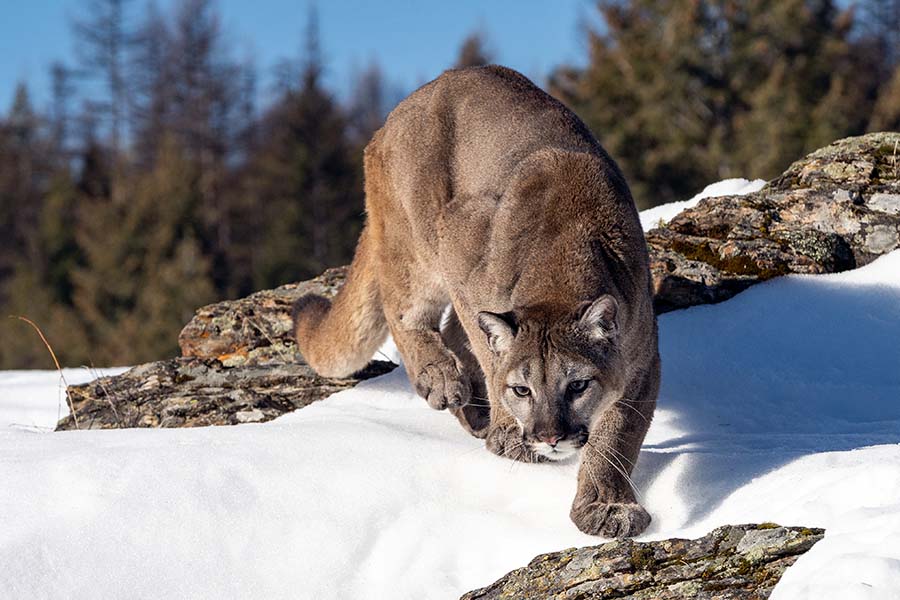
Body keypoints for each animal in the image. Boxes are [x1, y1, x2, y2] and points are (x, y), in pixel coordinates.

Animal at [292, 65, 656, 540]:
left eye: (577, 386)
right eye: (523, 389)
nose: (549, 436)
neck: (562, 265)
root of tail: (392, 117)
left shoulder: (641, 360)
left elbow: (618, 434)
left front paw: (607, 504)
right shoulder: (457, 239)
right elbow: (489, 351)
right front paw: (509, 432)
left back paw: (474, 412)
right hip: (417, 242)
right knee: (407, 312)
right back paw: (443, 380)